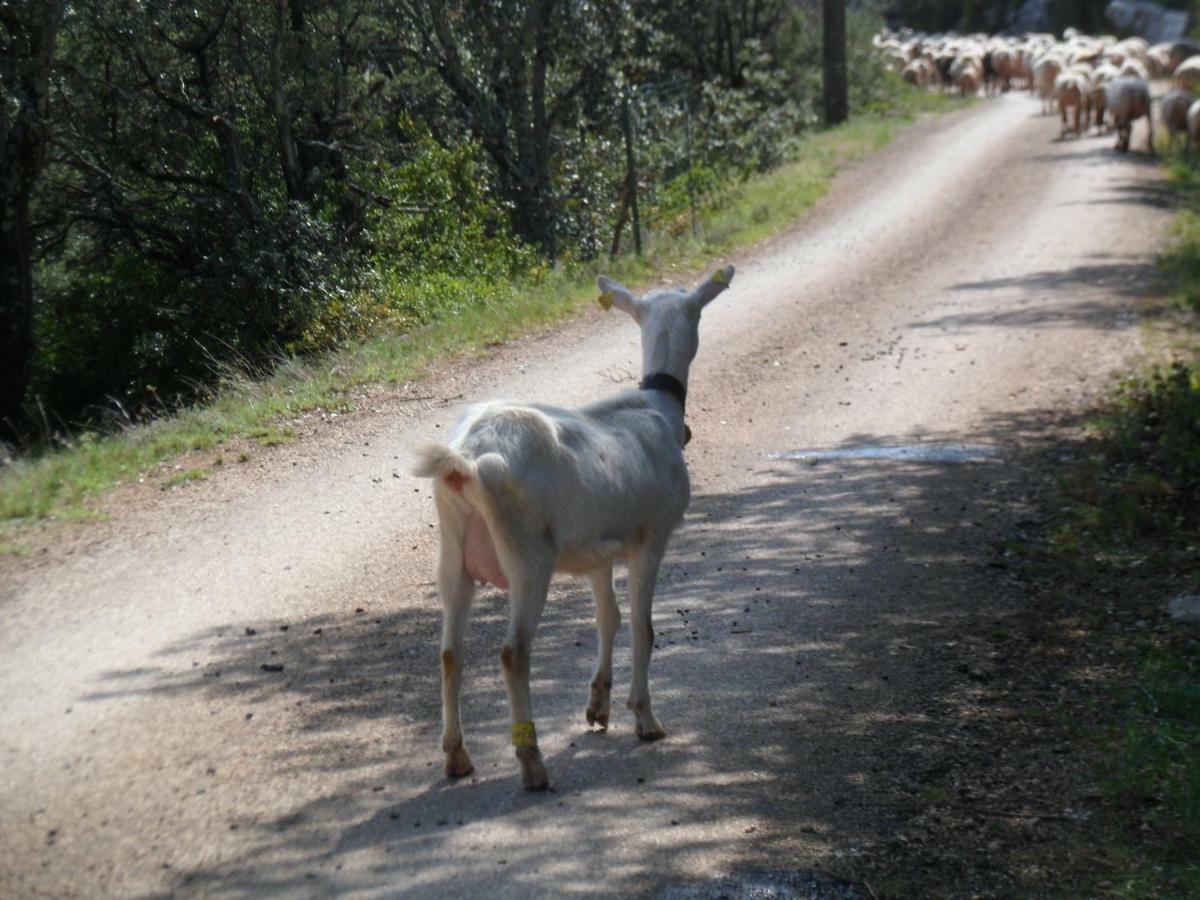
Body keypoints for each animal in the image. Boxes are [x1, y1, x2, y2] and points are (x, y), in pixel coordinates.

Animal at [412, 266, 729, 787]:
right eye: (699, 311)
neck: (656, 407)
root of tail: (468, 460)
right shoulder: (651, 536)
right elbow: (643, 627)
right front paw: (645, 718)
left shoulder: (598, 550)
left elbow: (609, 617)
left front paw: (598, 706)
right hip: (527, 554)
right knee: (513, 653)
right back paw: (532, 762)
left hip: (453, 555)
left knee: (449, 653)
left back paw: (457, 756)